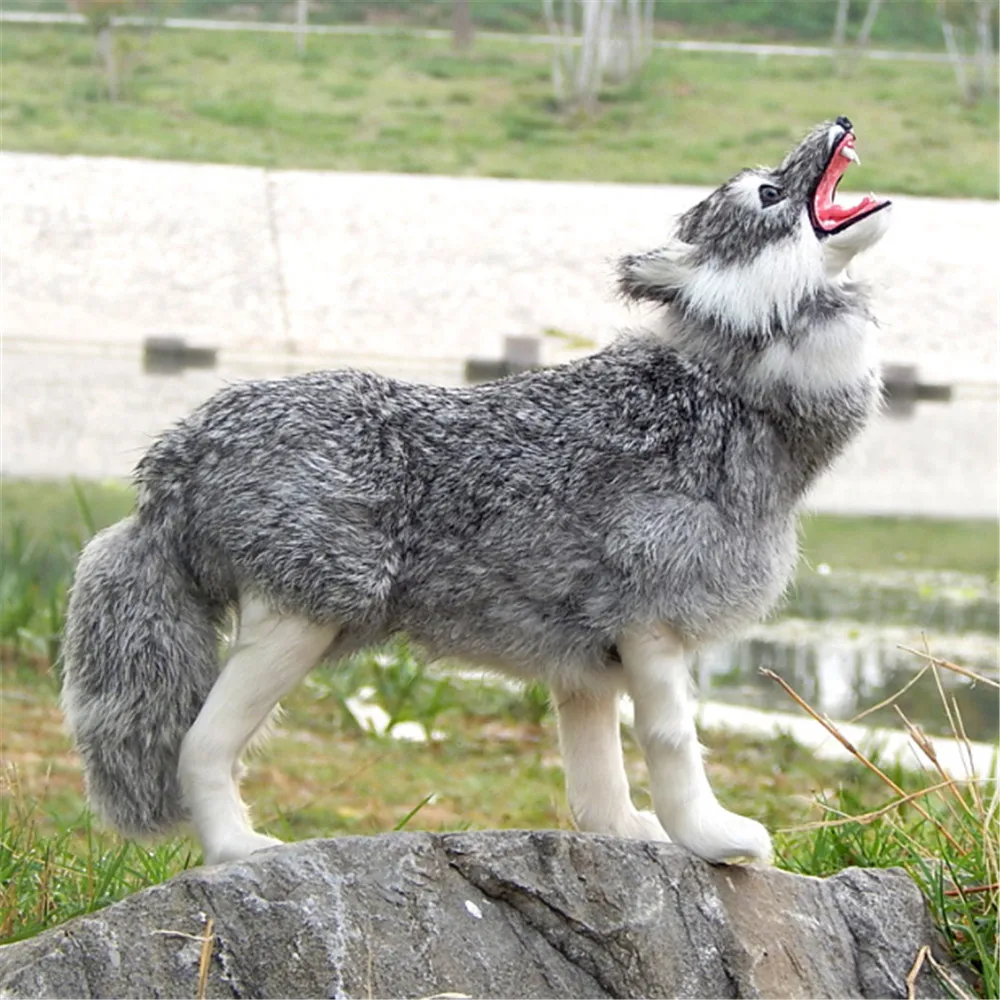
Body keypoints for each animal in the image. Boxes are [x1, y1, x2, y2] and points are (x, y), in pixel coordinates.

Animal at [62, 117, 891, 867]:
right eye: (768, 192)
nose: (841, 121)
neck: (720, 386)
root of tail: (175, 457)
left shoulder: (586, 663)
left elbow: (597, 785)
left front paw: (631, 836)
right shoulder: (652, 634)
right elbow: (672, 745)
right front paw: (716, 841)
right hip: (298, 626)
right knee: (199, 745)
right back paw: (239, 849)